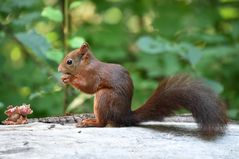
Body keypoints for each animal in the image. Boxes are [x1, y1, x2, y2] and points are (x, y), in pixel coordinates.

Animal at [58, 42, 228, 135]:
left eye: (69, 61)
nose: (59, 69)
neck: (86, 65)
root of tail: (124, 116)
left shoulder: (94, 75)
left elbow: (89, 87)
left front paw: (69, 78)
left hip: (104, 97)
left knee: (103, 122)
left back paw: (90, 122)